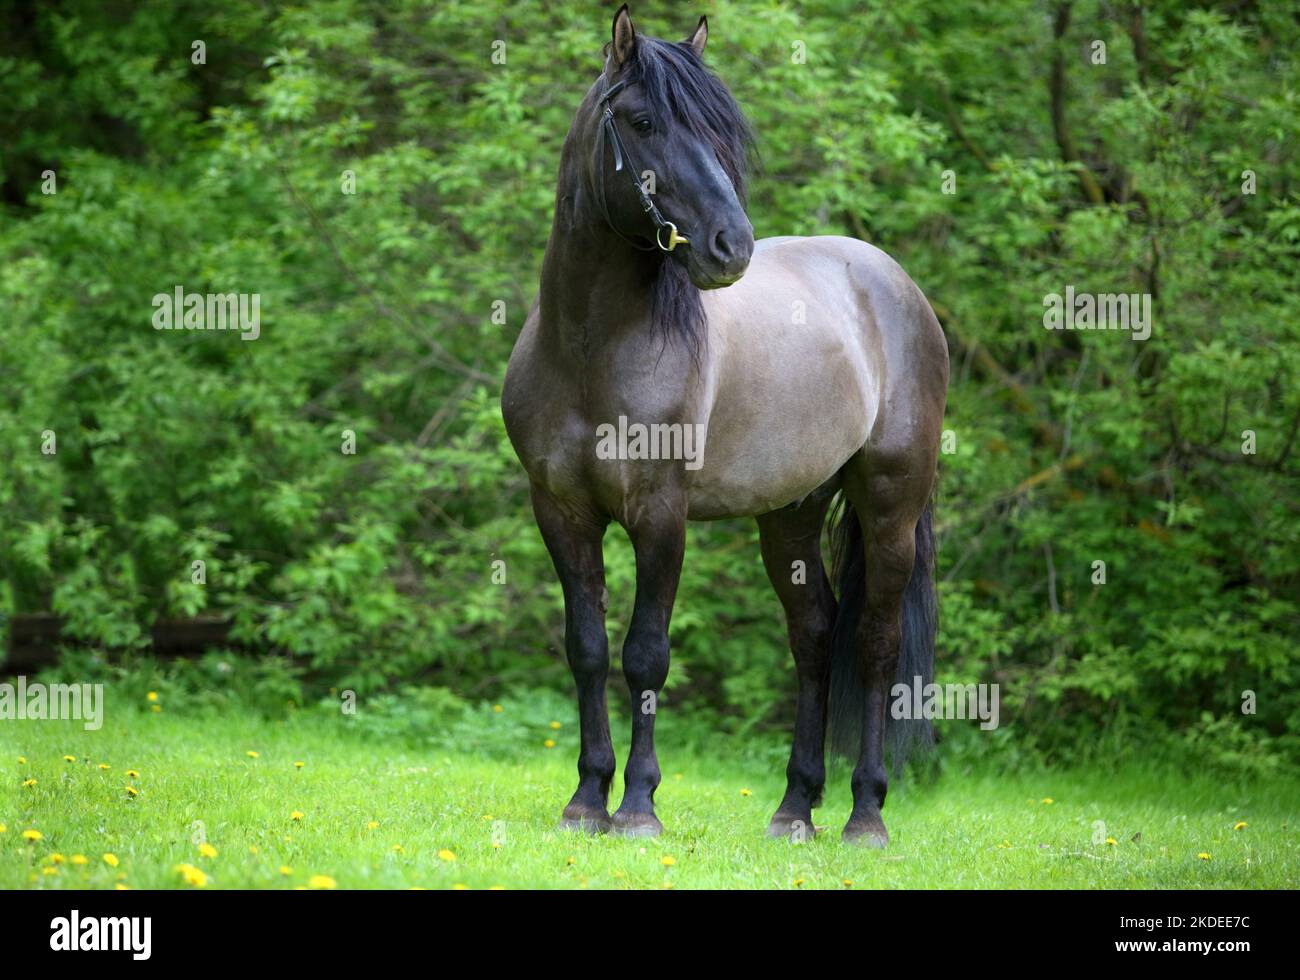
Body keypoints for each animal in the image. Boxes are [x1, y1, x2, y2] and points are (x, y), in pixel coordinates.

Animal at [501, 3, 951, 842]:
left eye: (719, 131)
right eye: (644, 121)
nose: (729, 247)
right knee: (814, 636)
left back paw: (865, 814)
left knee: (874, 642)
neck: (589, 347)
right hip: (792, 513)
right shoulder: (561, 511)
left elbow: (646, 653)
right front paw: (586, 800)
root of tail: (892, 281)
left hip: (890, 503)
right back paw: (795, 808)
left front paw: (638, 806)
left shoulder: (659, 514)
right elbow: (587, 649)